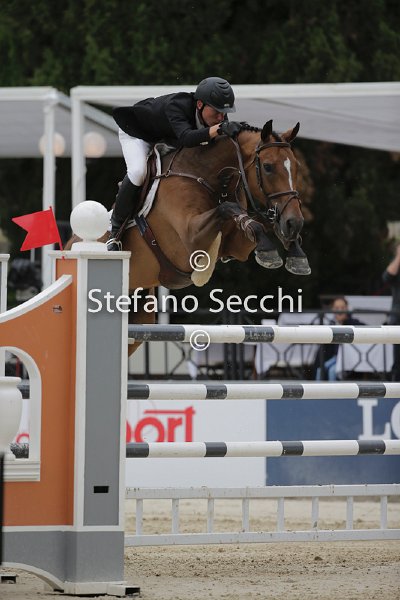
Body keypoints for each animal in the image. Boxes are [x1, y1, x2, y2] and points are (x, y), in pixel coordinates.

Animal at [68, 119, 310, 352]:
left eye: (296, 166)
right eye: (268, 167)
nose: (294, 222)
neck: (210, 176)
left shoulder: (236, 245)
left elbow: (255, 223)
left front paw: (295, 252)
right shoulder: (191, 238)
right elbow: (229, 209)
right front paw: (271, 251)